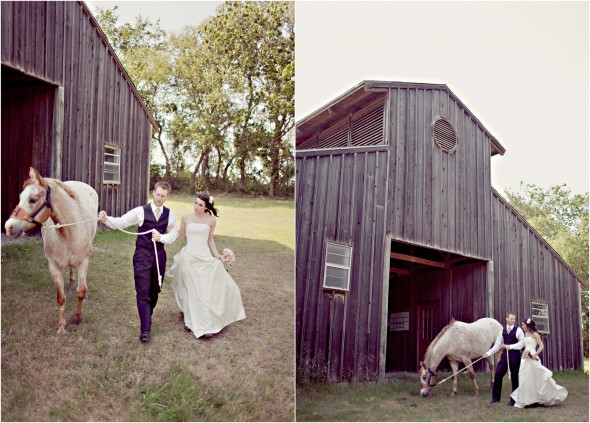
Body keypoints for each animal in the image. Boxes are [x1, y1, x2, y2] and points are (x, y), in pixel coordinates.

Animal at [4, 168, 98, 334]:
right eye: (20, 197)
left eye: (33, 199)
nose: (9, 227)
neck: (68, 232)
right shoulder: (53, 266)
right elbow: (60, 298)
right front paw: (61, 327)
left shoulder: (84, 262)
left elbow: (81, 291)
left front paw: (77, 318)